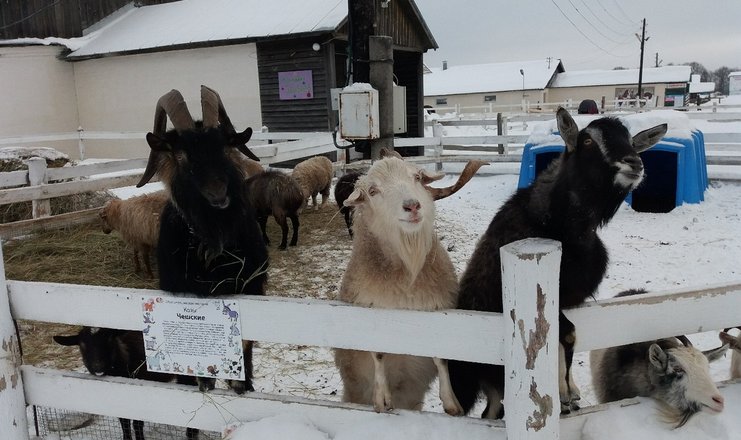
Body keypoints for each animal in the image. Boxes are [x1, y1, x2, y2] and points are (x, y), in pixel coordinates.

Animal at [54, 327, 199, 440]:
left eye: (109, 340)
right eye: (82, 345)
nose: (98, 368)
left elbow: (137, 424)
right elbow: (124, 422)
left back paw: (192, 433)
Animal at [136, 86, 268, 395]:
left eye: (224, 147)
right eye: (181, 154)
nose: (218, 194)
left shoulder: (251, 290)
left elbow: (244, 355)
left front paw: (241, 385)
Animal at [333, 156, 486, 415]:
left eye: (416, 177)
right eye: (372, 191)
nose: (412, 206)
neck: (408, 273)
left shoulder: (438, 312)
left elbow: (441, 356)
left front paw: (450, 402)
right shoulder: (370, 314)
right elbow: (378, 353)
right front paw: (382, 399)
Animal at [449, 107, 668, 418]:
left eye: (631, 142)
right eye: (587, 141)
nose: (634, 163)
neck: (561, 227)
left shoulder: (567, 299)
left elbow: (569, 338)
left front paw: (570, 391)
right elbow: (566, 334)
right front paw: (564, 392)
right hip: (479, 377)